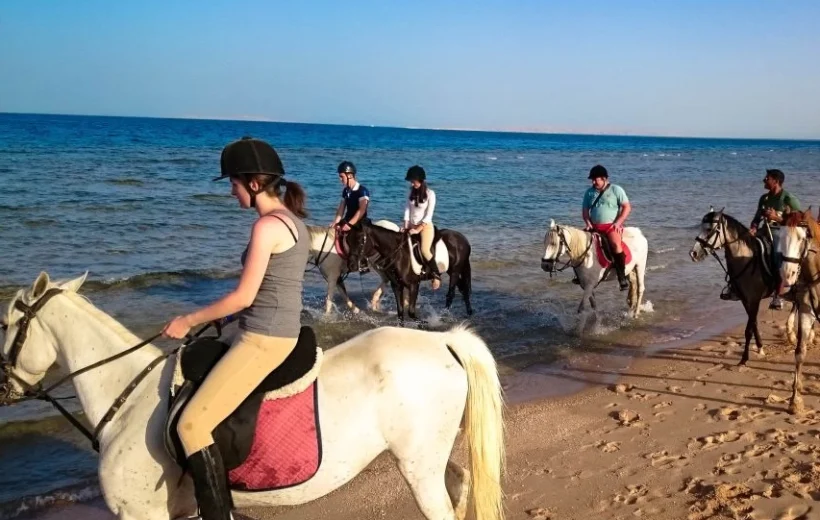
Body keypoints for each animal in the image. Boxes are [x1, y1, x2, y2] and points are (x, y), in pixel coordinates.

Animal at [0, 274, 502, 516]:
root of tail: (442, 341)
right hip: (428, 460)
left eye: (7, 324)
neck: (129, 400)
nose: (4, 387)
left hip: (418, 469)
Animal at [346, 221, 474, 322]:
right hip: (451, 271)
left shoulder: (413, 285)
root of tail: (463, 239)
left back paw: (443, 316)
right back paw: (469, 312)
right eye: (348, 241)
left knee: (451, 294)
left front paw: (424, 324)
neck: (398, 254)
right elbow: (400, 312)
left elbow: (411, 312)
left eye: (360, 241)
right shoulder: (396, 285)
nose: (351, 265)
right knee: (463, 289)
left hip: (455, 271)